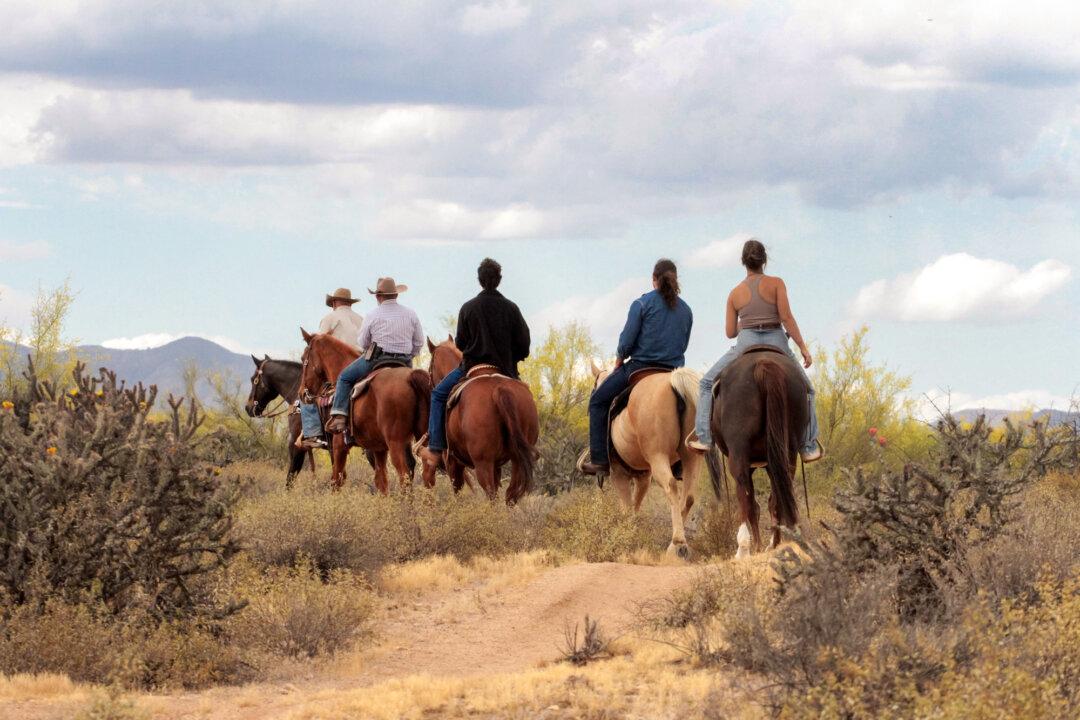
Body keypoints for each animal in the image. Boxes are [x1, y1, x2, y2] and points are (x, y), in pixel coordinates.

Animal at [299, 329, 431, 493]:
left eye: (303, 358)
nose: (302, 393)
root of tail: (410, 377)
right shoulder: (379, 448)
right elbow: (381, 481)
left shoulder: (339, 445)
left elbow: (337, 480)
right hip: (422, 439)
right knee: (427, 474)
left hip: (396, 443)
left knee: (404, 476)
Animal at [421, 337, 539, 505]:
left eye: (430, 366)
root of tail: (499, 390)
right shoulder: (496, 466)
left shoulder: (453, 461)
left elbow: (457, 489)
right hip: (517, 459)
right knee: (510, 494)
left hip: (482, 462)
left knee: (491, 494)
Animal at [584, 363, 703, 558]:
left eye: (595, 386)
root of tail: (674, 379)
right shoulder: (644, 476)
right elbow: (636, 506)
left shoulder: (619, 474)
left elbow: (627, 508)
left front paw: (625, 538)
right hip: (691, 457)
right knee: (689, 496)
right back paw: (675, 543)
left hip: (658, 456)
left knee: (671, 486)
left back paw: (677, 542)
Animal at [705, 348, 808, 559]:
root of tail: (763, 365)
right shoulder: (768, 462)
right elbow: (770, 501)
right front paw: (766, 544)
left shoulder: (748, 462)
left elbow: (753, 503)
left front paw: (757, 546)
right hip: (787, 451)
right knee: (780, 492)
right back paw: (782, 539)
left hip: (739, 454)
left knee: (744, 495)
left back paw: (743, 549)